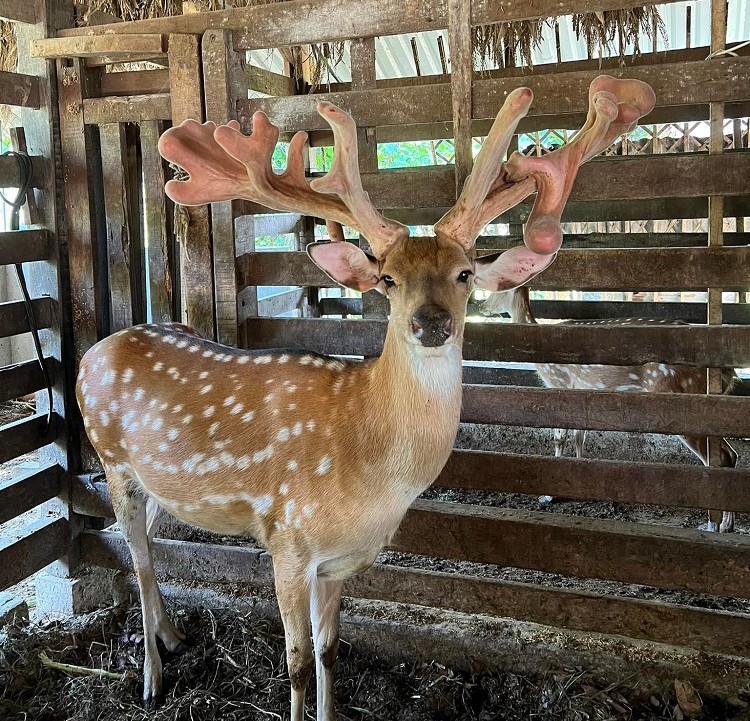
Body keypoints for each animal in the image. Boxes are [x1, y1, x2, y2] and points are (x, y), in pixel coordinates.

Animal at [73, 76, 656, 716]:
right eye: (387, 279)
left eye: (465, 273)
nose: (431, 323)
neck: (369, 475)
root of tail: (93, 351)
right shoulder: (288, 539)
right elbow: (298, 663)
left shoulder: (339, 562)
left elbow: (331, 652)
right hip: (112, 461)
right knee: (136, 555)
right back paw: (151, 677)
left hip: (155, 481)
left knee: (151, 543)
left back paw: (174, 638)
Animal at [484, 286, 736, 528]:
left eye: (495, 290)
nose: (482, 305)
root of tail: (728, 373)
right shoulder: (581, 391)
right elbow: (579, 436)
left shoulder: (559, 384)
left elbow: (560, 437)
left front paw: (548, 496)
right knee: (730, 454)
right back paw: (726, 524)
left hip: (685, 402)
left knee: (718, 458)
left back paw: (715, 525)